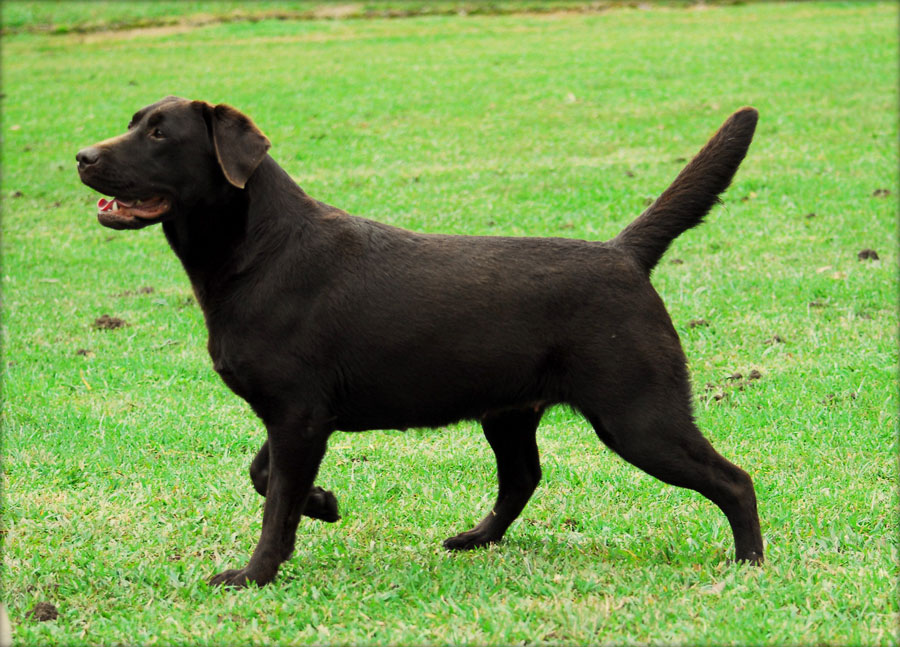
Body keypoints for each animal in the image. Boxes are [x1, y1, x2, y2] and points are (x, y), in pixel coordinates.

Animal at [79, 98, 768, 588]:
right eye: (133, 123)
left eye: (160, 135)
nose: (83, 156)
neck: (256, 251)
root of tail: (623, 253)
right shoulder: (294, 413)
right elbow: (264, 474)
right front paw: (323, 503)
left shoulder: (299, 415)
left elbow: (274, 504)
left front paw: (253, 574)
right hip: (510, 412)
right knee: (523, 476)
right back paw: (475, 538)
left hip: (639, 416)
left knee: (735, 480)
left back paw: (750, 563)